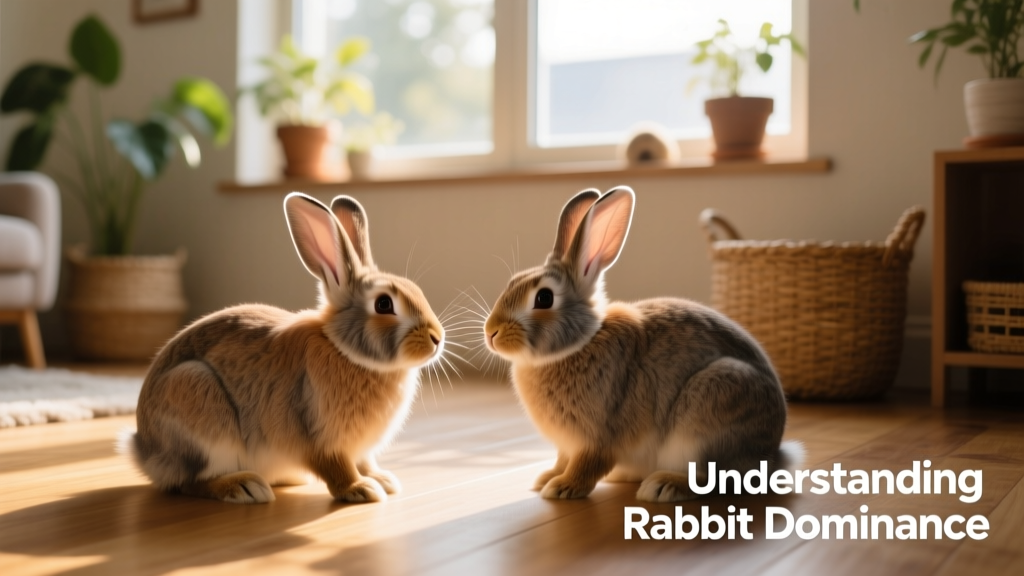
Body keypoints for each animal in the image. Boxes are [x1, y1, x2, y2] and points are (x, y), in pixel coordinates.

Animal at [119, 192, 444, 504]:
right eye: (384, 304)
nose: (437, 338)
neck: (343, 351)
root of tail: (144, 450)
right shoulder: (318, 436)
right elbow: (336, 467)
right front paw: (361, 489)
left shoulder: (359, 448)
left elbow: (364, 462)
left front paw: (383, 479)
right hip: (199, 405)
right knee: (189, 482)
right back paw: (245, 487)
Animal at [483, 186, 801, 502]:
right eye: (512, 282)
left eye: (544, 298)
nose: (491, 332)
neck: (579, 344)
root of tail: (771, 457)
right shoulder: (568, 445)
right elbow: (563, 459)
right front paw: (547, 477)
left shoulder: (600, 435)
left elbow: (588, 464)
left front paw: (563, 487)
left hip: (709, 414)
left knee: (711, 478)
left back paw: (662, 486)